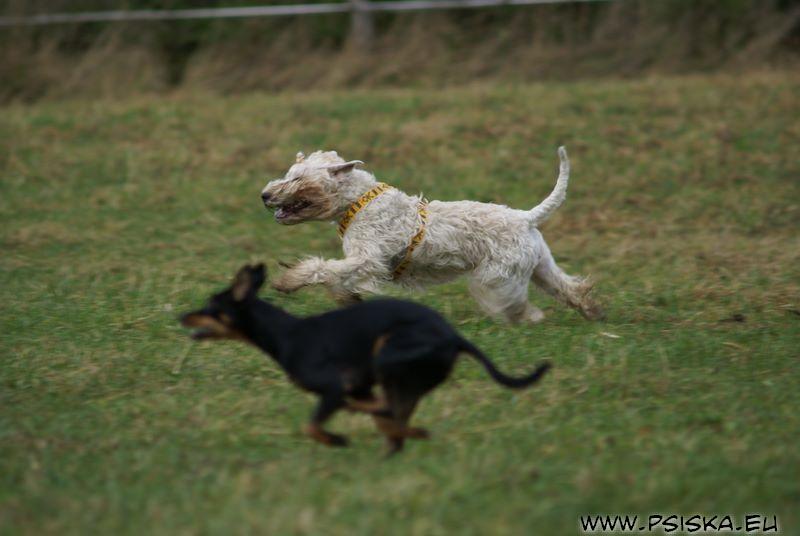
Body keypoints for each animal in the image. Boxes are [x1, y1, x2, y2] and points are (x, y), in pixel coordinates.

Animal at [180, 262, 552, 452]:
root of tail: (455, 338)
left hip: (387, 353)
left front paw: (335, 438)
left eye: (210, 307)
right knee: (394, 420)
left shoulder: (334, 386)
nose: (182, 317)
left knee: (389, 414)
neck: (286, 334)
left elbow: (313, 424)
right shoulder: (359, 388)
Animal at [260, 148, 604, 322]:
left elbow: (322, 268)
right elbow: (336, 276)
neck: (358, 202)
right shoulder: (362, 261)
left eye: (298, 179)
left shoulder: (368, 259)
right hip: (540, 266)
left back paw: (527, 318)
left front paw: (288, 281)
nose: (264, 195)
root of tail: (525, 217)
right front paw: (347, 299)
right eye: (289, 174)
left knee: (514, 304)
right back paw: (592, 311)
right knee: (569, 287)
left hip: (495, 277)